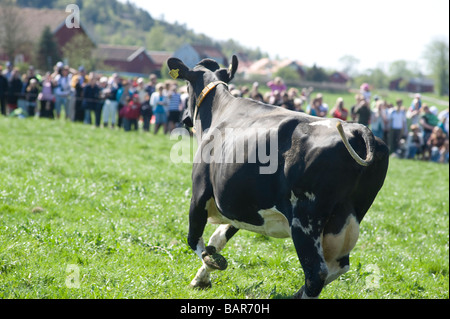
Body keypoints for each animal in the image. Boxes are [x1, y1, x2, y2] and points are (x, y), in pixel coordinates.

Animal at [167, 55, 388, 300]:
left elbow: (195, 240)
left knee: (316, 273)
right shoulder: (241, 207)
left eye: (187, 85)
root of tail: (356, 128)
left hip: (305, 219)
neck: (219, 112)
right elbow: (217, 239)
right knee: (338, 266)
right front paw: (200, 279)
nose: (184, 118)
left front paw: (212, 264)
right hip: (346, 218)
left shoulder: (199, 194)